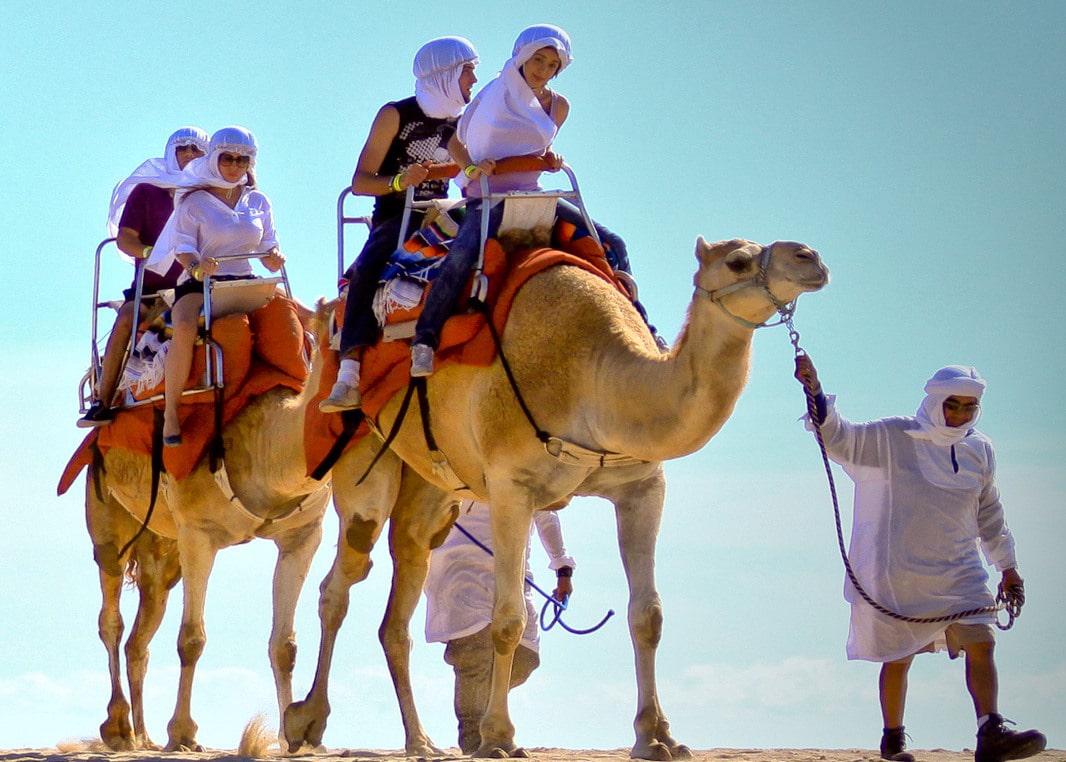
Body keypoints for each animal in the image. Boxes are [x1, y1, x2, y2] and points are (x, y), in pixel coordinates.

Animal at [80, 309, 330, 750]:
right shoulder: (199, 532)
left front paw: (294, 738)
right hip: (106, 515)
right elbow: (191, 639)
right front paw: (182, 733)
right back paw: (120, 728)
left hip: (163, 552)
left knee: (140, 637)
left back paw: (144, 736)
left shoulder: (303, 534)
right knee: (112, 619)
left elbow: (284, 645)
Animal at [285, 236, 831, 758]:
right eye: (738, 261)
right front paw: (498, 739)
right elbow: (508, 617)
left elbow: (647, 615)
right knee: (341, 580)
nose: (811, 258)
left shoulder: (643, 487)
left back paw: (420, 742)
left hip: (432, 490)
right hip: (362, 459)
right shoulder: (511, 486)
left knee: (402, 595)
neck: (593, 376)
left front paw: (657, 737)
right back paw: (305, 722)